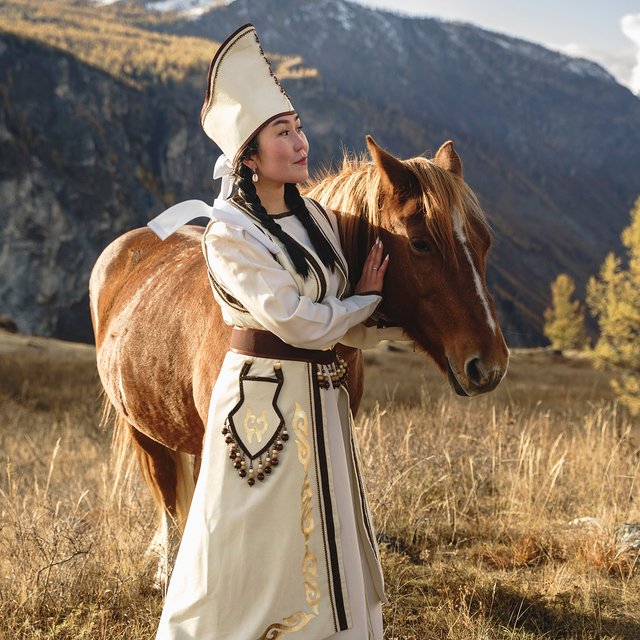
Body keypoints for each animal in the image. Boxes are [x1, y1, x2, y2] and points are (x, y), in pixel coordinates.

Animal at [89, 136, 509, 584]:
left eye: (485, 242)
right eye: (420, 243)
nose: (489, 365)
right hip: (143, 431)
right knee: (168, 497)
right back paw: (169, 572)